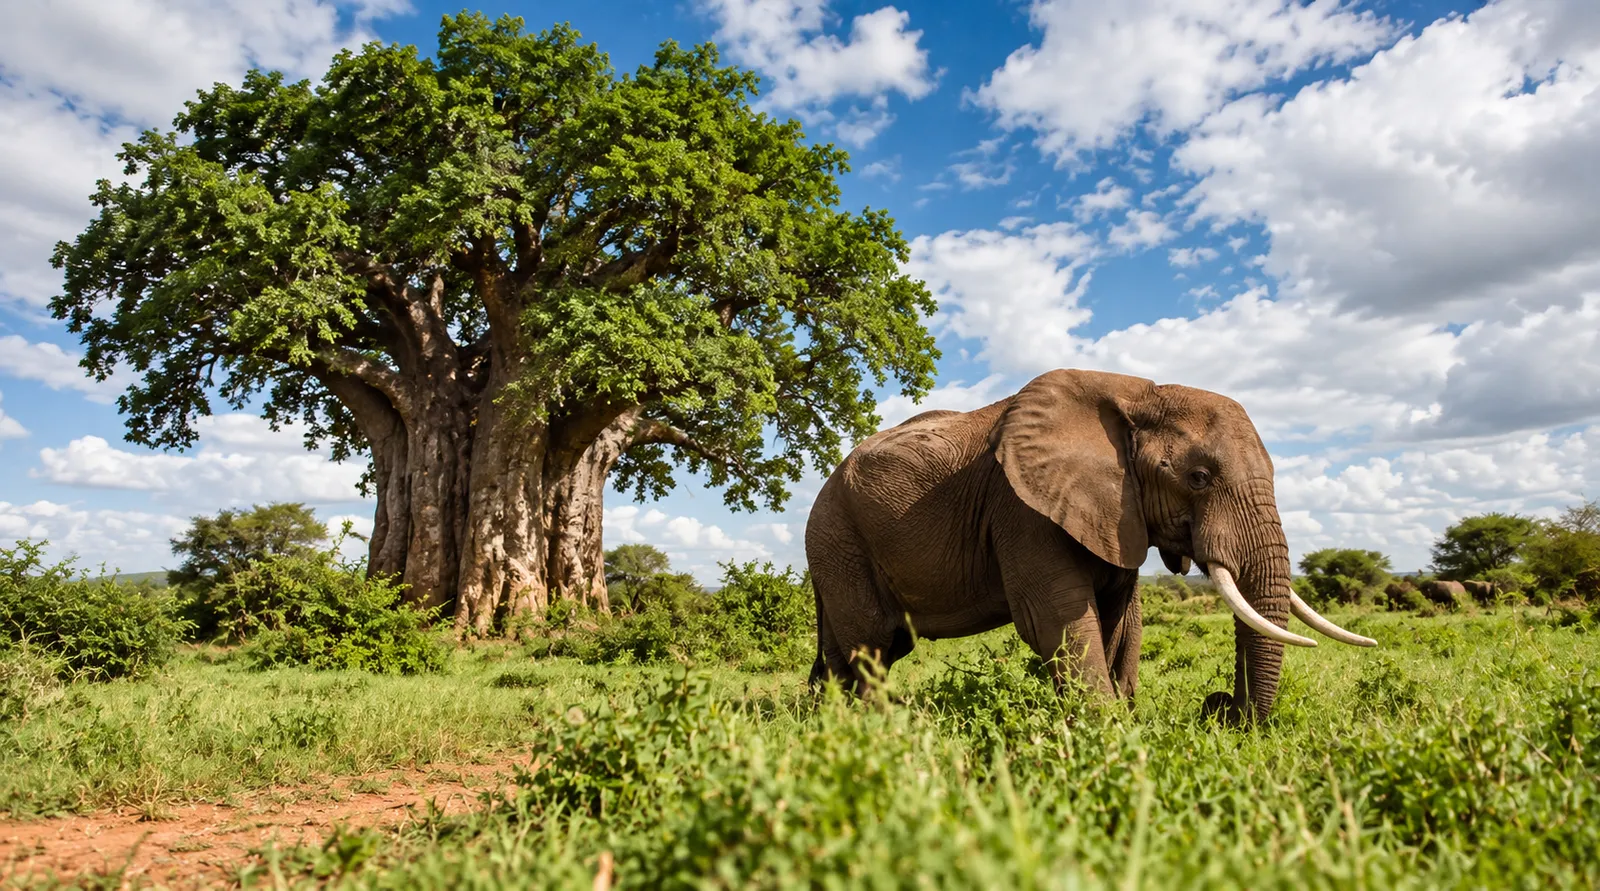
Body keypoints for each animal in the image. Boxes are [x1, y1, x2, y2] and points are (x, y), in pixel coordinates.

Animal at [804, 369, 1375, 724]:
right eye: (1198, 478)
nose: (1221, 710)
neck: (1140, 394)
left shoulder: (1117, 512)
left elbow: (1121, 620)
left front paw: (1124, 718)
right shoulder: (1021, 507)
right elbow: (1057, 619)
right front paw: (1105, 732)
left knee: (852, 650)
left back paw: (822, 720)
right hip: (838, 537)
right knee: (873, 645)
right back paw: (883, 728)